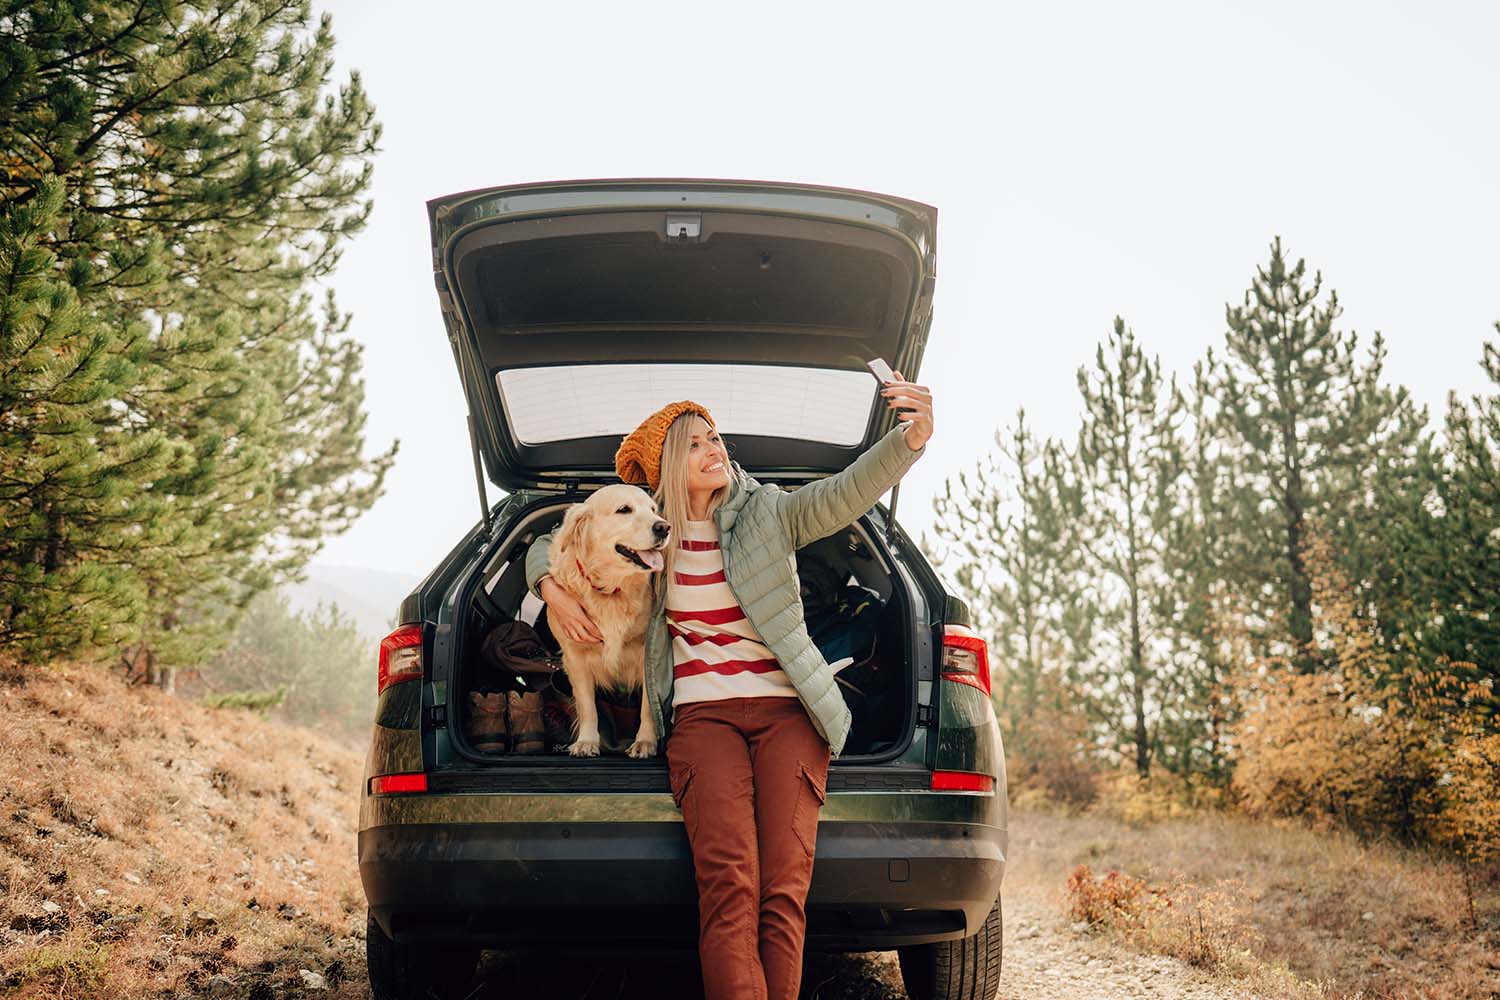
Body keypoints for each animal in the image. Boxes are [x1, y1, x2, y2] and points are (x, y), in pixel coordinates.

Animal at [549, 485, 672, 758]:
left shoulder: (647, 652)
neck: (612, 589)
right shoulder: (574, 656)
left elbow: (648, 706)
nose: (664, 527)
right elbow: (587, 706)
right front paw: (586, 742)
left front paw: (645, 742)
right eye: (624, 509)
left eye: (653, 509)